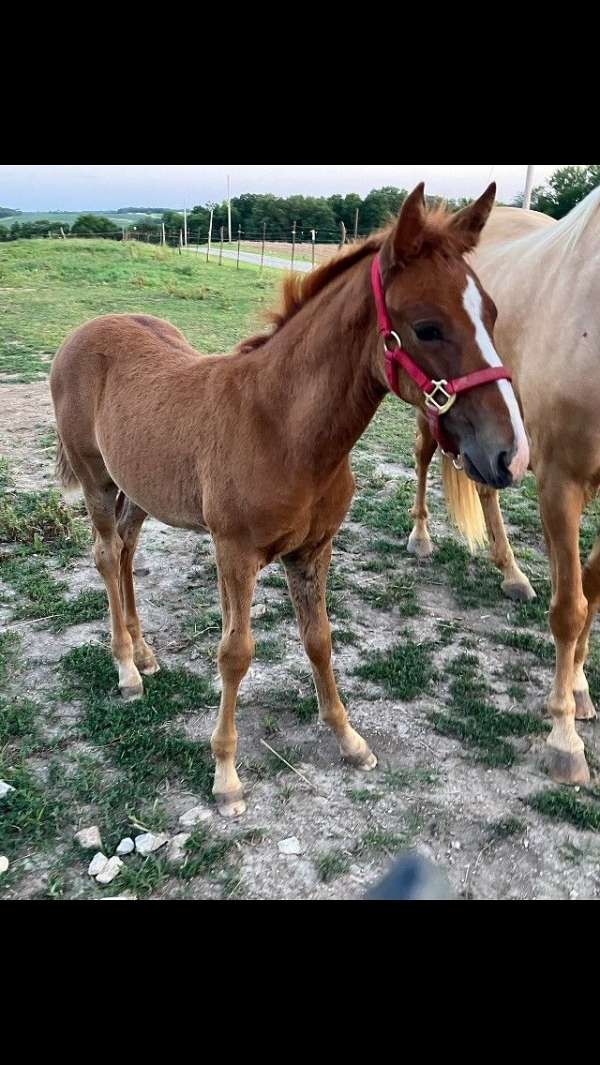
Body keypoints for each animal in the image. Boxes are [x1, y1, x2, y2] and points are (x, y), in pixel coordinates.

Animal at [407, 191, 600, 788]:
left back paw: (512, 571)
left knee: (490, 491)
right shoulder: (562, 480)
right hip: (439, 416)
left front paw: (578, 688)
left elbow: (592, 591)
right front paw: (564, 738)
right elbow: (571, 607)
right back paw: (421, 537)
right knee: (423, 458)